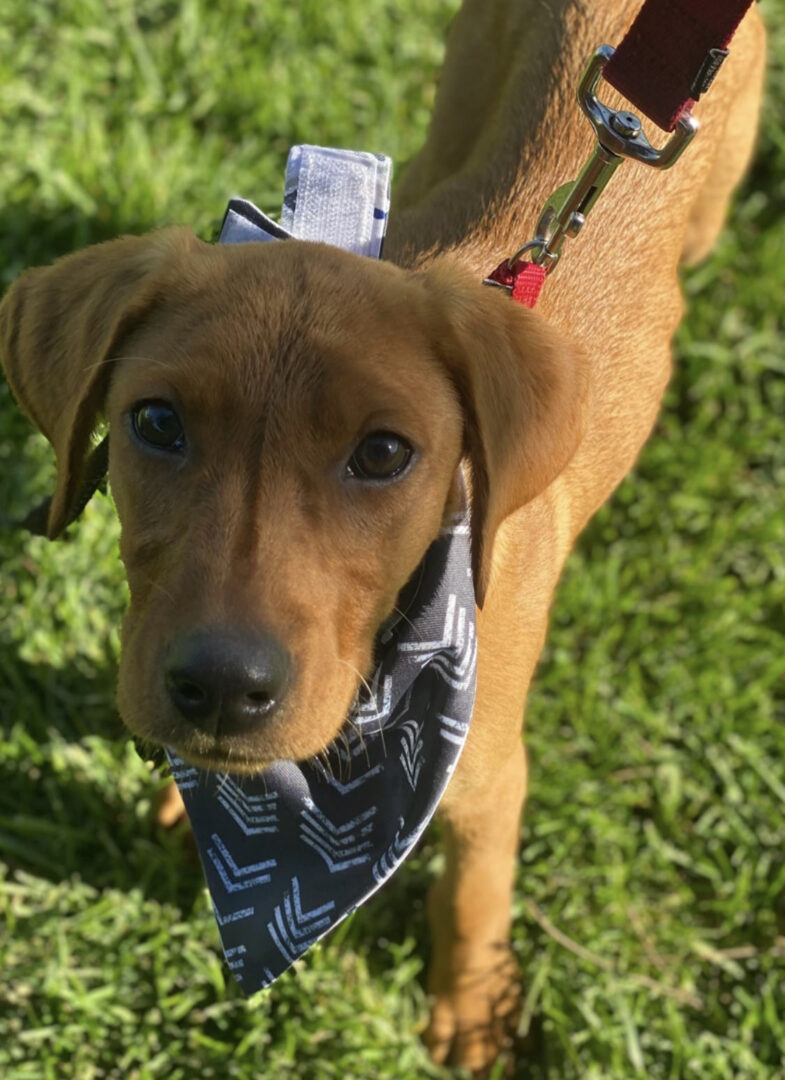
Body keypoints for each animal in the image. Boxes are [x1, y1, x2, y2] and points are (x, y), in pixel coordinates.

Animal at [0, 0, 764, 1071]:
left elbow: (472, 896)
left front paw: (469, 1011)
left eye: (384, 454)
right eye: (155, 424)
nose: (221, 689)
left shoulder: (489, 777)